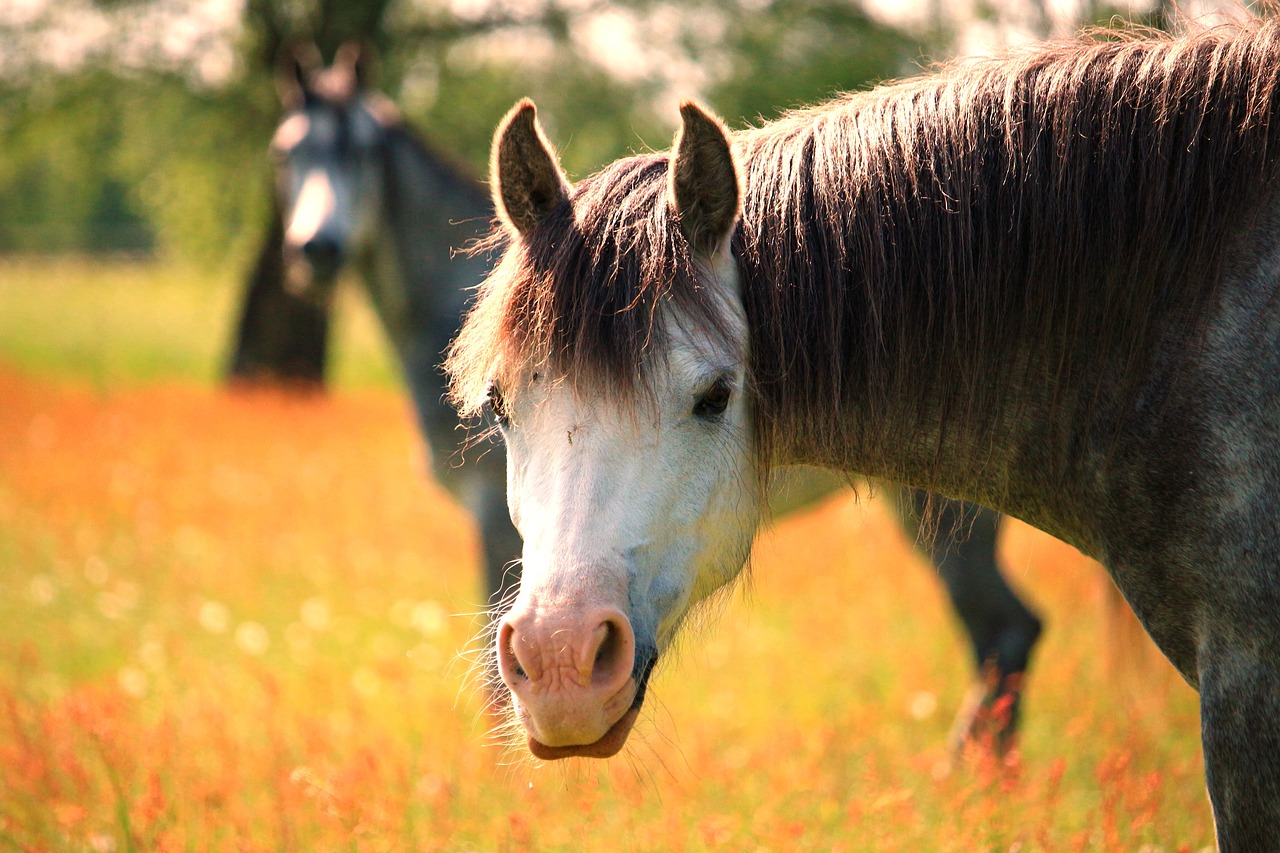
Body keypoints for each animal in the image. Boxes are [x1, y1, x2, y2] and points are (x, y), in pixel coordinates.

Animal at [257, 43, 1039, 747]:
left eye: (358, 151)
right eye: (286, 152)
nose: (315, 250)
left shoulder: (493, 524)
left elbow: (491, 675)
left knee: (1005, 631)